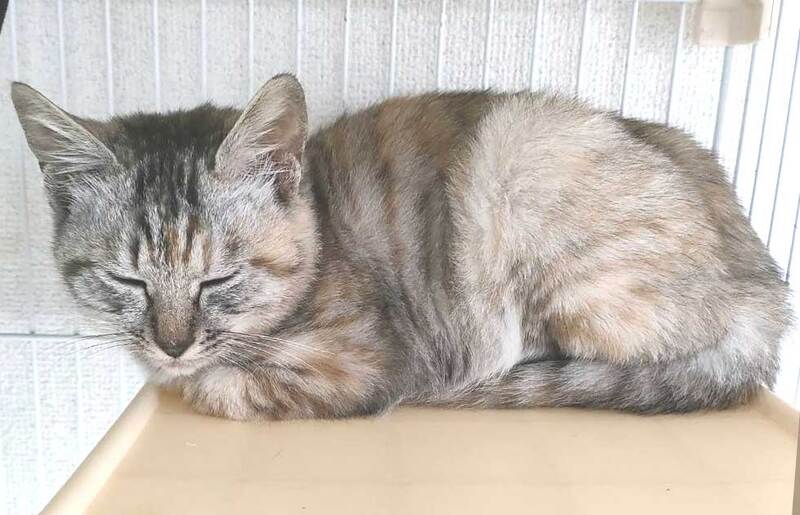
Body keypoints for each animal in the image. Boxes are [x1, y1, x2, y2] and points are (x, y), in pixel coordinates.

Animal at [12, 74, 792, 420]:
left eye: (218, 280)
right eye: (127, 280)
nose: (170, 343)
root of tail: (762, 285)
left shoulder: (356, 361)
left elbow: (225, 387)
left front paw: (196, 377)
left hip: (528, 180)